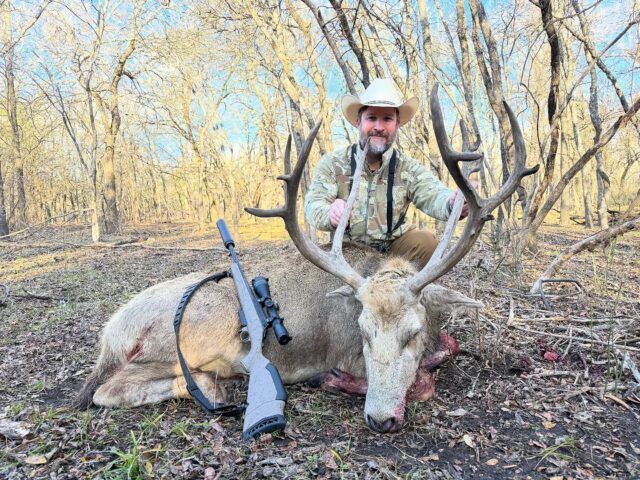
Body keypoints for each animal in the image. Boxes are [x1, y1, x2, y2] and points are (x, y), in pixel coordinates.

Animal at [74, 86, 537, 433]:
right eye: (362, 332)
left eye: (413, 332)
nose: (380, 419)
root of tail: (110, 334)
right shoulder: (348, 355)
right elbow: (421, 382)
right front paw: (333, 380)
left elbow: (449, 348)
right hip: (186, 338)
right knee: (104, 390)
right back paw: (212, 386)